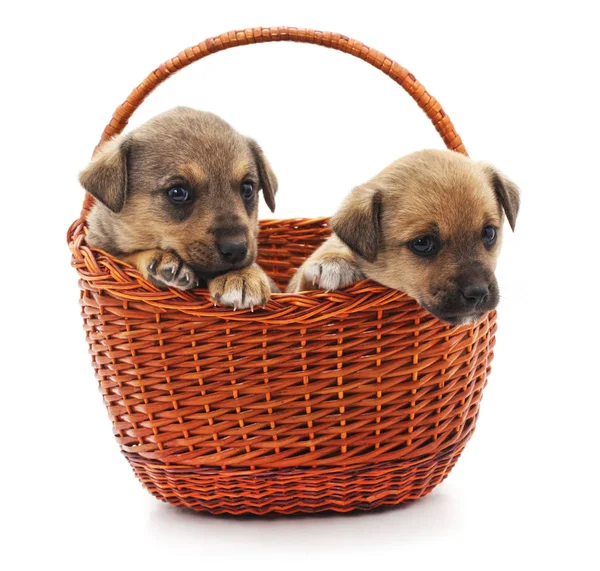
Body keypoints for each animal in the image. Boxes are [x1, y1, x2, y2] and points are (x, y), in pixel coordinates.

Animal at [78, 109, 282, 310]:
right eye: (177, 192)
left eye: (247, 189)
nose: (236, 249)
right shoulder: (104, 250)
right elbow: (127, 255)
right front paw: (161, 259)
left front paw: (242, 276)